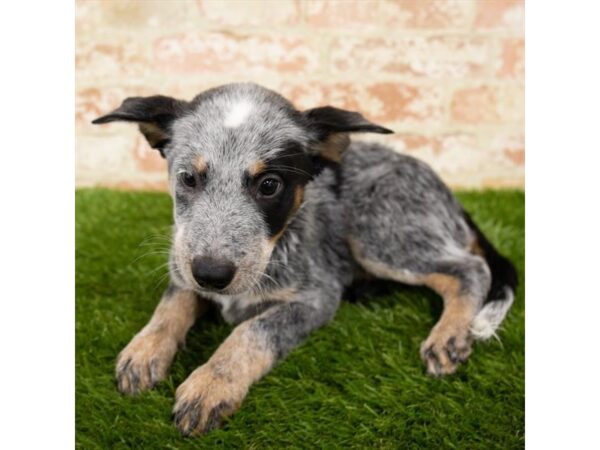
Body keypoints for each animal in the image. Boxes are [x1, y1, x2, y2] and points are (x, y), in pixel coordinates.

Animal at [92, 82, 516, 438]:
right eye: (188, 178)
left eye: (269, 185)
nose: (212, 275)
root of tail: (449, 195)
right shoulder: (184, 264)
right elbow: (170, 306)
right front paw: (143, 351)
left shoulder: (315, 298)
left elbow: (251, 331)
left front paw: (211, 384)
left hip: (377, 231)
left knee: (470, 268)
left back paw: (448, 336)